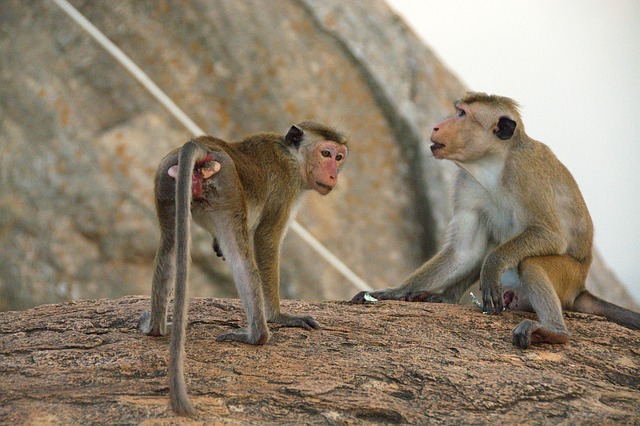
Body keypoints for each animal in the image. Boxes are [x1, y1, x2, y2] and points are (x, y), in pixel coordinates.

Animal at [138, 121, 348, 416]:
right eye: (326, 153)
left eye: (339, 157)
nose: (332, 175)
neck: (292, 156)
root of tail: (203, 145)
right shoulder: (286, 185)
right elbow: (266, 239)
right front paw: (280, 316)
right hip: (226, 185)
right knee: (240, 257)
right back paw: (257, 335)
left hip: (167, 181)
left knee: (169, 246)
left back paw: (155, 328)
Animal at [352, 92, 640, 349]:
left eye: (462, 114)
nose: (436, 126)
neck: (492, 163)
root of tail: (580, 289)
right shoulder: (465, 182)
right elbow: (464, 252)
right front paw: (394, 292)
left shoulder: (526, 170)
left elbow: (549, 235)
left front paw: (493, 264)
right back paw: (442, 299)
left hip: (568, 278)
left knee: (531, 263)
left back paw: (554, 332)